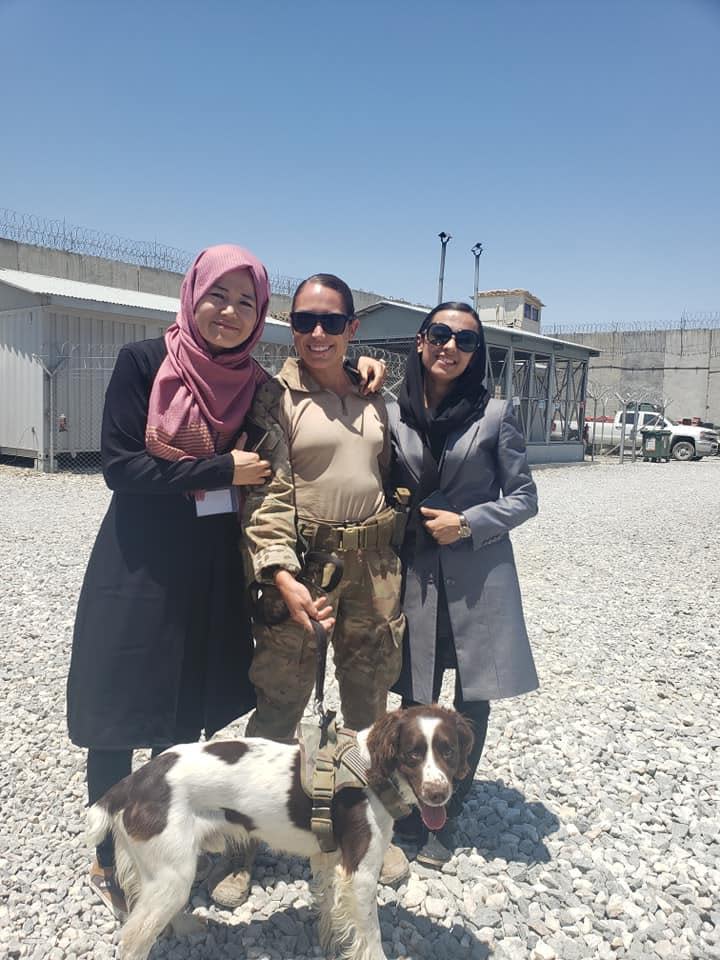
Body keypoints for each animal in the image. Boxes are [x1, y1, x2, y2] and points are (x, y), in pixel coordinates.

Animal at [87, 704, 476, 960]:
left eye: (448, 751)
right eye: (412, 754)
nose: (438, 793)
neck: (370, 768)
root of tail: (133, 781)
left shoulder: (328, 858)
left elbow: (331, 908)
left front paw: (331, 944)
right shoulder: (361, 872)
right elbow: (371, 935)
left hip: (164, 871)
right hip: (173, 873)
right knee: (132, 938)